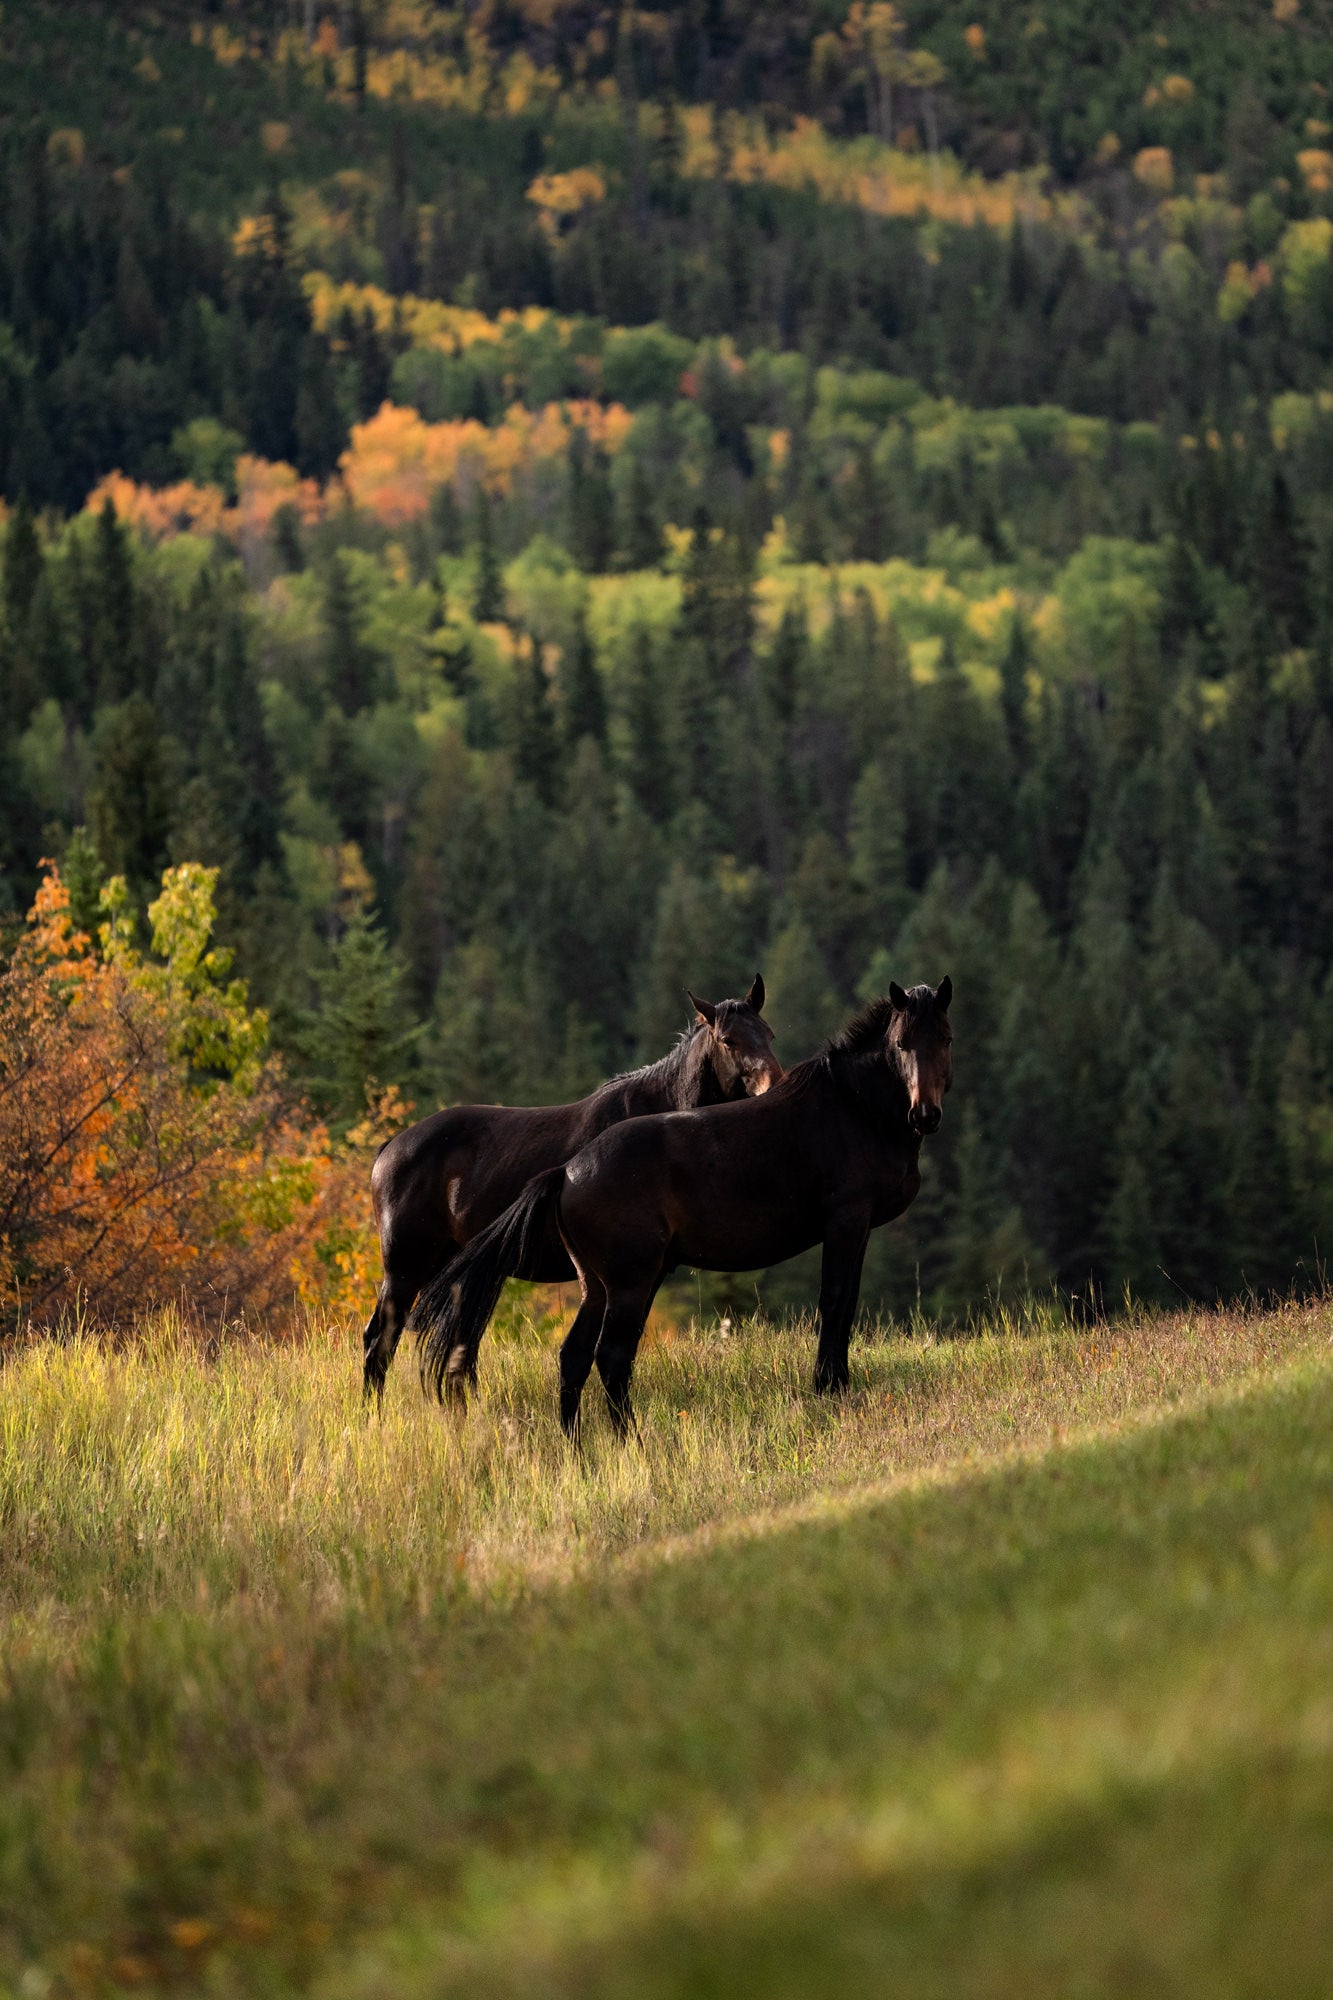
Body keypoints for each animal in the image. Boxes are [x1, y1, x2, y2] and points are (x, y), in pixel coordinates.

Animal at [364, 976, 780, 1400]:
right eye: (728, 1040)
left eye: (768, 1034)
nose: (774, 1087)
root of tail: (390, 1149)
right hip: (404, 1269)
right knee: (379, 1341)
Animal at [410, 976, 948, 1432]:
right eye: (902, 1044)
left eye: (944, 1038)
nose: (926, 1114)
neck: (850, 1107)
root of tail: (566, 1172)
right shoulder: (846, 1221)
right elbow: (837, 1302)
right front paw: (830, 1390)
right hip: (629, 1282)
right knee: (611, 1357)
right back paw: (630, 1440)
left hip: (597, 1287)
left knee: (575, 1357)